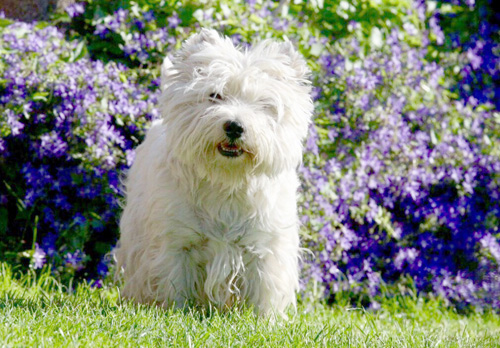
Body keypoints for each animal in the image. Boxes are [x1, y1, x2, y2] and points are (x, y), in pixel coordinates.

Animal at [115, 29, 314, 316]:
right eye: (215, 95)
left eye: (264, 104)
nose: (234, 126)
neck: (226, 181)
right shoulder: (175, 243)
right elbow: (172, 282)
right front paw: (173, 313)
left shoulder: (265, 247)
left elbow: (265, 288)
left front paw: (266, 319)